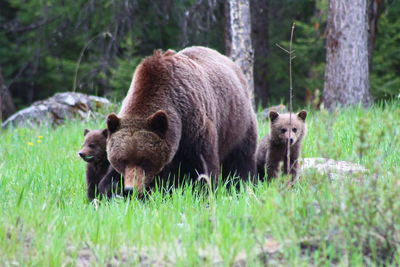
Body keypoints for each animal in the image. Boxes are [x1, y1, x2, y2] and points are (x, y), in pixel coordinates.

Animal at [104, 46, 258, 193]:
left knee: (241, 160)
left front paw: (204, 190)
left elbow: (202, 168)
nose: (131, 189)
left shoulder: (194, 130)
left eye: (144, 160)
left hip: (238, 124)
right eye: (122, 160)